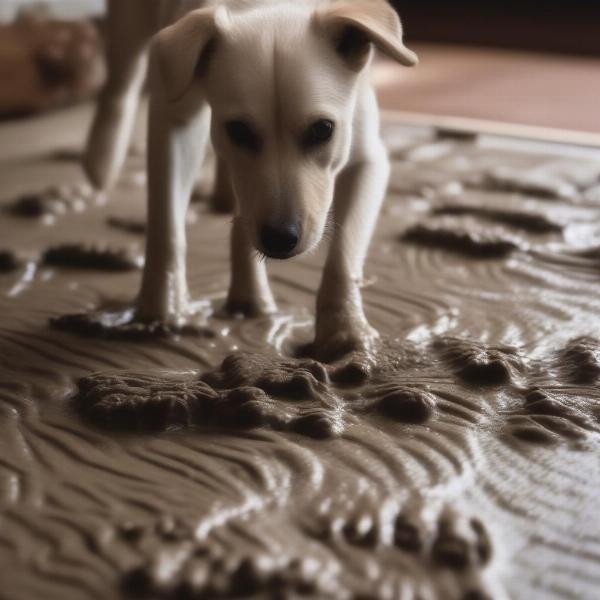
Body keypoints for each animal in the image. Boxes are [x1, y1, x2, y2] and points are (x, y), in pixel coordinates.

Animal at [84, 1, 418, 360]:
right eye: (239, 130)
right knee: (118, 87)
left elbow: (343, 255)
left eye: (322, 129)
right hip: (128, 28)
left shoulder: (368, 157)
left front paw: (344, 330)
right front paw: (161, 313)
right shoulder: (173, 118)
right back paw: (100, 163)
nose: (280, 238)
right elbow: (166, 228)